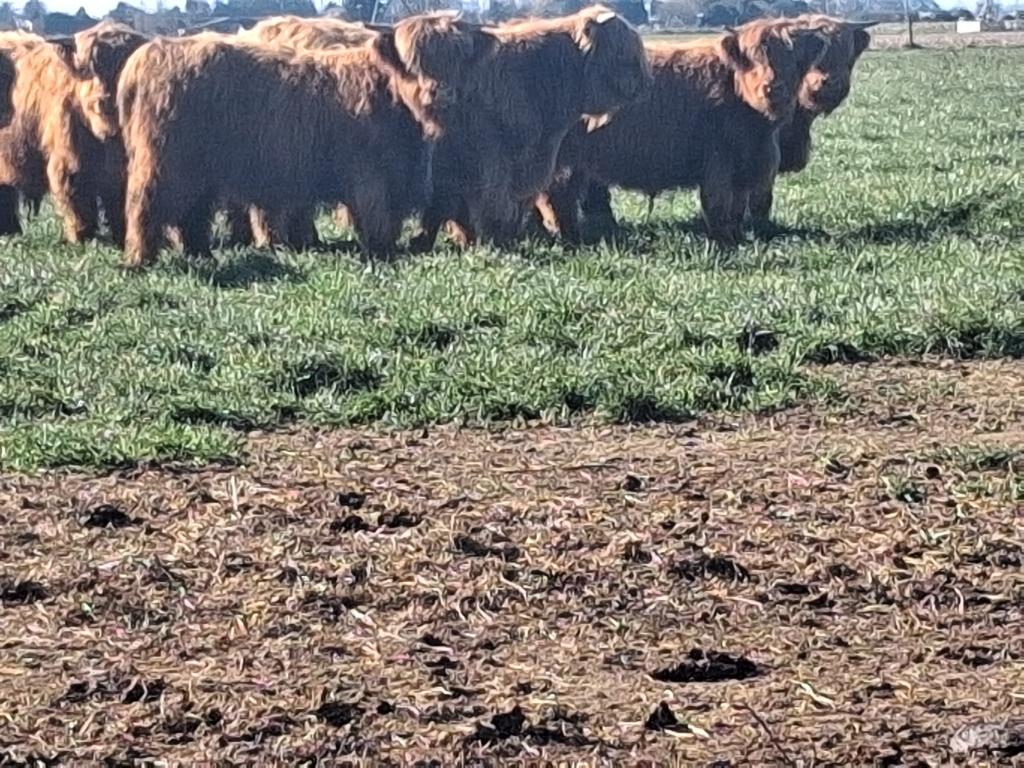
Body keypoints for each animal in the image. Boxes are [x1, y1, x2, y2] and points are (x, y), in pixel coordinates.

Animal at [117, 15, 495, 267]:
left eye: (458, 58)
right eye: (414, 61)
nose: (440, 94)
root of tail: (151, 51)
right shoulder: (369, 174)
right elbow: (375, 215)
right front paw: (382, 252)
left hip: (199, 170)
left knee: (192, 214)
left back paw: (201, 254)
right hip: (165, 164)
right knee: (145, 205)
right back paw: (141, 258)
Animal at [570, 16, 875, 240]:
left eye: (847, 55)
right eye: (755, 58)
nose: (829, 84)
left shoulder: (756, 160)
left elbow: (743, 203)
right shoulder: (721, 159)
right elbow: (728, 202)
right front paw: (733, 236)